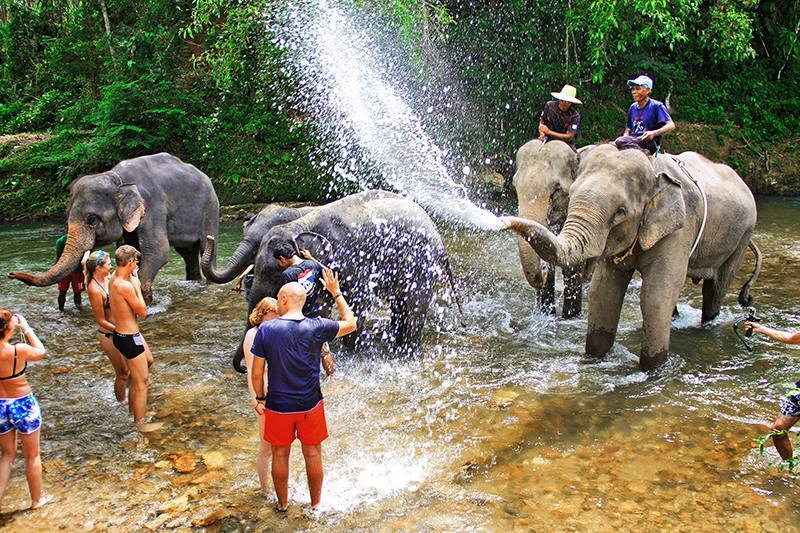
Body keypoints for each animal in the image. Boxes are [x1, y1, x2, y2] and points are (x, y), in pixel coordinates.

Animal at [7, 154, 219, 304]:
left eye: (92, 220)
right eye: (67, 220)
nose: (11, 274)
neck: (117, 178)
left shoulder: (152, 207)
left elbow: (158, 252)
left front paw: (148, 304)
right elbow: (128, 250)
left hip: (210, 210)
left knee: (204, 248)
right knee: (187, 253)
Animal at [203, 189, 456, 372]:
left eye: (273, 272)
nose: (244, 368)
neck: (302, 220)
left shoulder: (351, 255)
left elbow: (356, 302)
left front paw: (350, 355)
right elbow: (320, 305)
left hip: (422, 264)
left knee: (413, 307)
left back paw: (404, 353)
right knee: (400, 306)